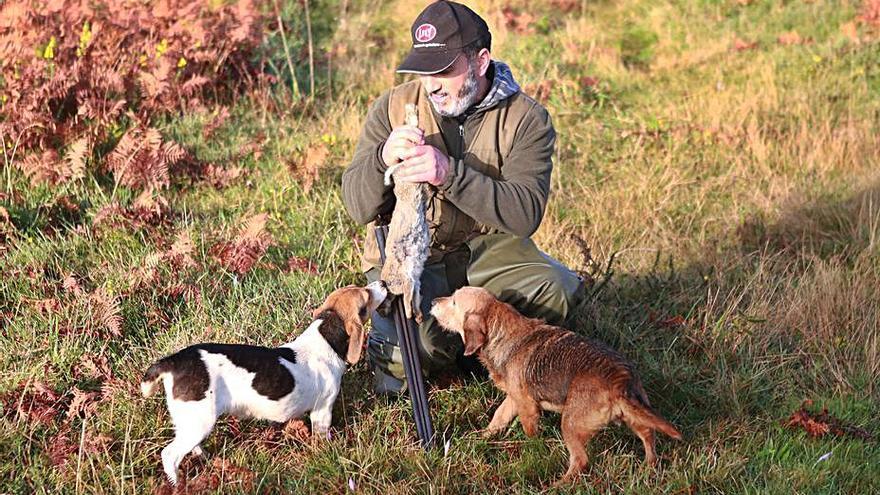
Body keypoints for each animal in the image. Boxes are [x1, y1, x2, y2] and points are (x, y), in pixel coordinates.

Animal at [142, 280, 388, 486]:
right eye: (366, 295)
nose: (384, 282)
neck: (325, 336)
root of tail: (174, 360)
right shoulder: (322, 410)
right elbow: (322, 437)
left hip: (191, 421)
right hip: (200, 420)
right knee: (170, 455)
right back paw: (177, 484)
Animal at [430, 288, 684, 482]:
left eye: (454, 301)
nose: (432, 301)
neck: (501, 331)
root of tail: (619, 380)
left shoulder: (526, 406)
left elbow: (530, 432)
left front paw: (534, 450)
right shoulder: (513, 399)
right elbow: (498, 418)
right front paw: (482, 437)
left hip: (570, 424)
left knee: (580, 461)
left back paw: (559, 484)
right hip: (635, 416)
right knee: (648, 437)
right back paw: (649, 467)